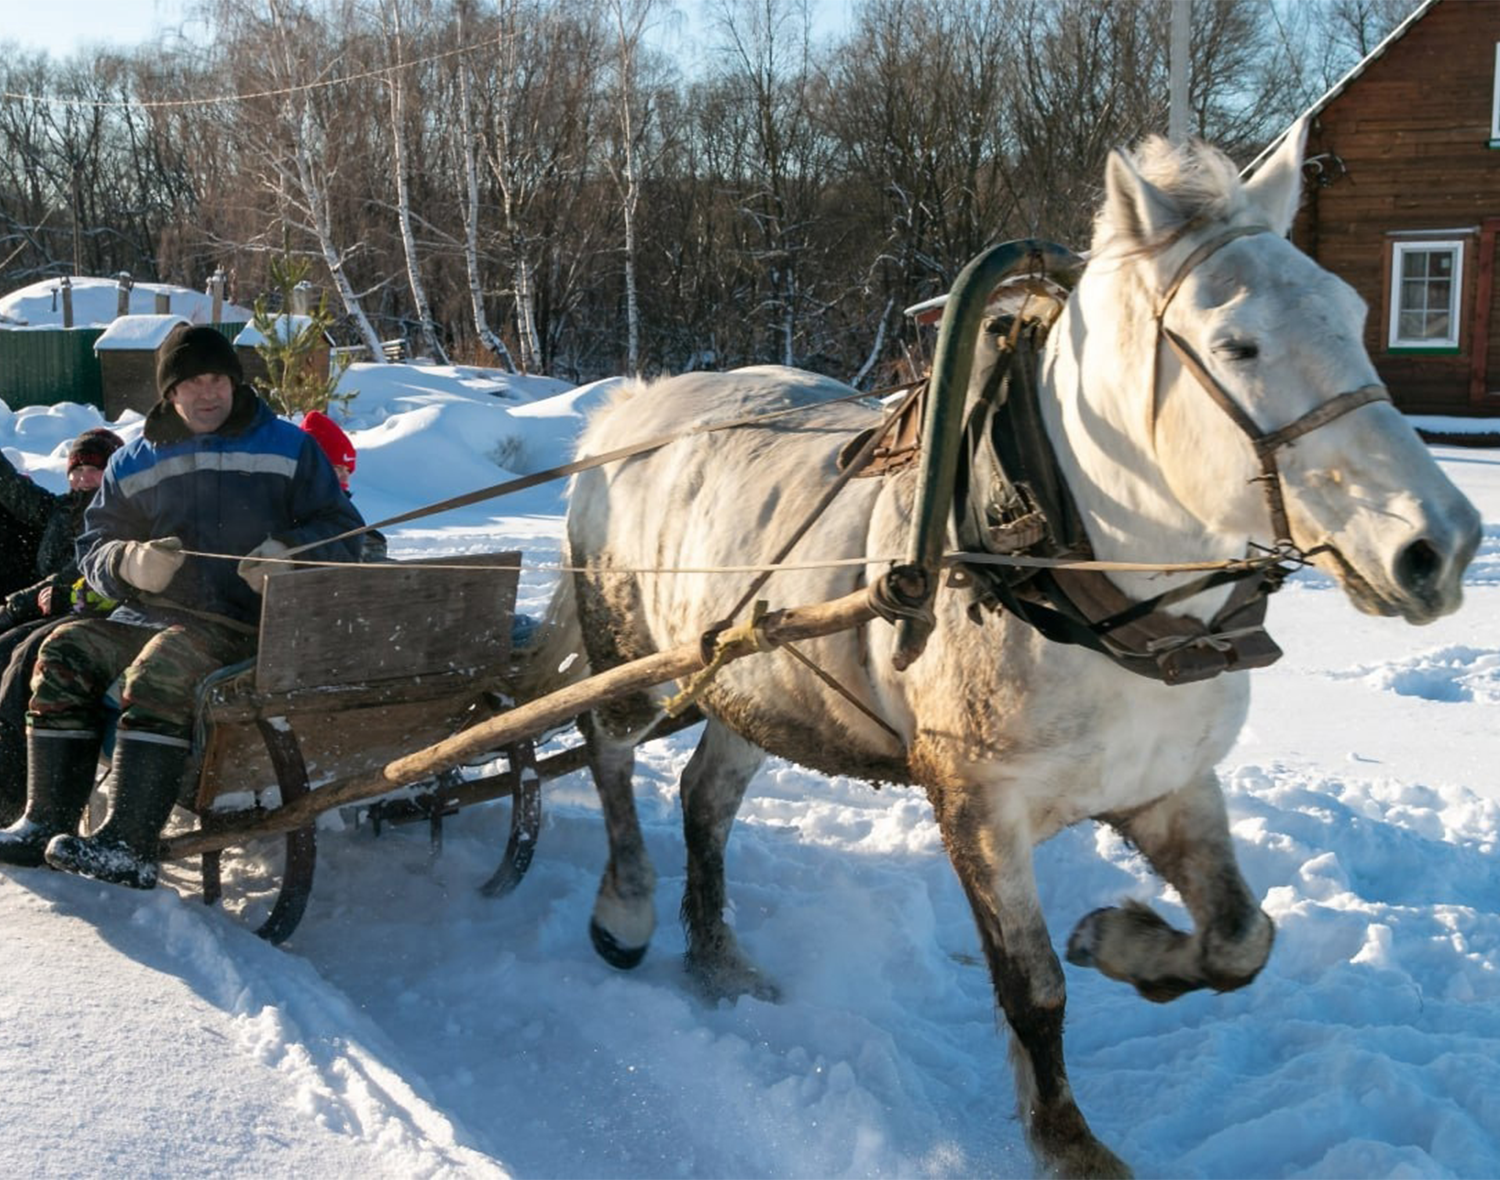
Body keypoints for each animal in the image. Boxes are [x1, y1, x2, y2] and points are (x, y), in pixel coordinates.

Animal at [540, 124, 1476, 1175]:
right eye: (1238, 344)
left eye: (1356, 314)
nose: (1439, 546)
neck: (1074, 574)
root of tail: (626, 408)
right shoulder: (980, 806)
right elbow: (1032, 987)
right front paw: (1070, 1142)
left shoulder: (1170, 783)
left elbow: (1242, 937)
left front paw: (1121, 942)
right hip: (627, 646)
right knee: (610, 753)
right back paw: (626, 910)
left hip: (753, 674)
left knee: (706, 798)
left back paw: (717, 961)